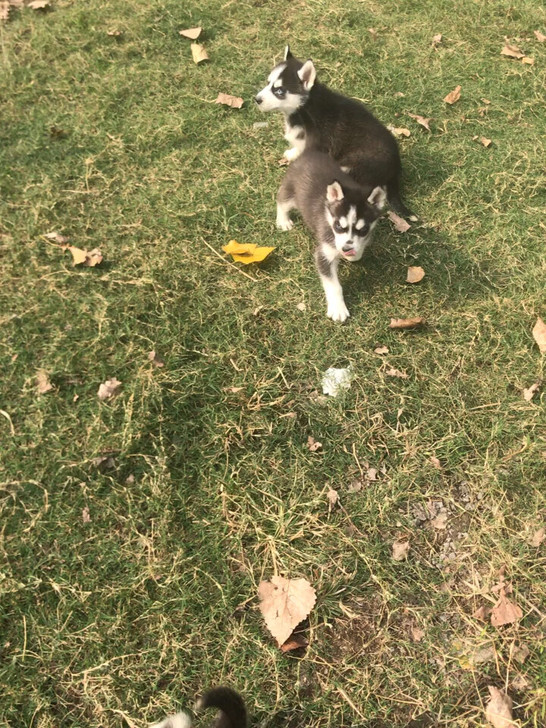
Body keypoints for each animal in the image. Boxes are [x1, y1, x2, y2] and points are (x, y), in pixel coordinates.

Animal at [255, 45, 412, 220]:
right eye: (268, 83)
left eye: (280, 91)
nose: (257, 99)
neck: (306, 105)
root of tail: (396, 168)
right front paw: (292, 153)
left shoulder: (319, 143)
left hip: (352, 167)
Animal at [276, 150, 386, 322]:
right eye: (338, 226)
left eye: (363, 230)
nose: (346, 249)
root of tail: (310, 152)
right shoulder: (324, 254)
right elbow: (334, 286)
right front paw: (338, 308)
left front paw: (354, 254)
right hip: (291, 193)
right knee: (281, 201)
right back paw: (283, 220)